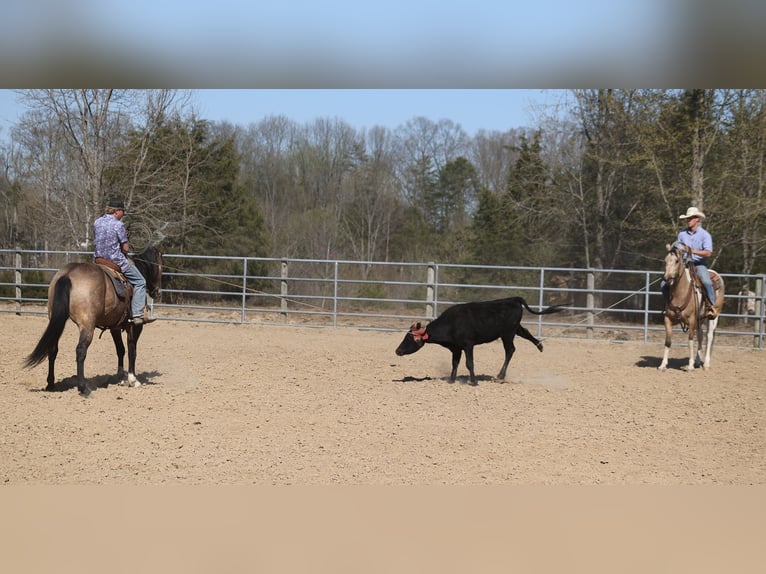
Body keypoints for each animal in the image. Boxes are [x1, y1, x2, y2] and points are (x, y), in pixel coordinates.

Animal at [23, 245, 163, 398]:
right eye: (160, 266)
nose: (157, 292)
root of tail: (68, 274)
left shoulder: (115, 327)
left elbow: (120, 350)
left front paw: (120, 376)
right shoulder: (135, 326)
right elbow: (132, 350)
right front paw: (132, 380)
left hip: (55, 320)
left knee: (53, 349)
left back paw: (50, 384)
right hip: (87, 325)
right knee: (80, 351)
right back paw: (83, 388)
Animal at [660, 244, 728, 374]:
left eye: (677, 261)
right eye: (665, 261)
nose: (667, 278)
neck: (680, 293)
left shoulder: (691, 320)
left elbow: (690, 341)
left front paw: (690, 366)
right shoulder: (668, 319)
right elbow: (667, 342)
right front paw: (663, 365)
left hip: (713, 317)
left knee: (709, 336)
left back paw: (706, 364)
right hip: (700, 319)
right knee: (701, 335)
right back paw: (697, 361)